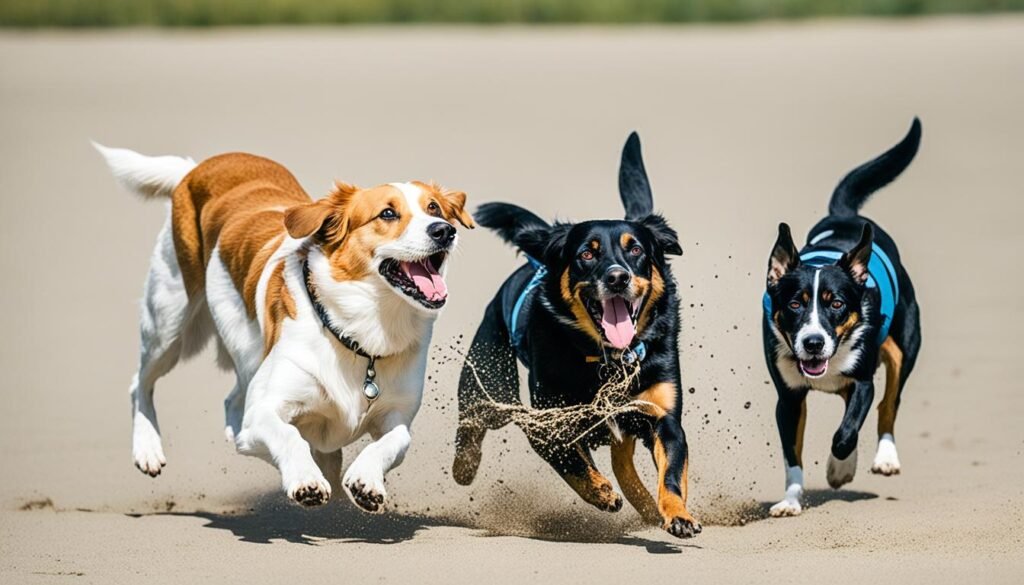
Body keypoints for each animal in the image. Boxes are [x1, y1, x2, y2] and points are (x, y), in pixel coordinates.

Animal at [96, 146, 471, 512]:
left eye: (435, 208)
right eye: (388, 214)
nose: (443, 230)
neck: (361, 334)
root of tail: (200, 166)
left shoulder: (398, 413)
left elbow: (396, 440)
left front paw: (366, 480)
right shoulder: (266, 409)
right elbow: (289, 436)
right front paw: (306, 480)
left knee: (232, 400)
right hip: (169, 320)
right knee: (140, 382)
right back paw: (148, 449)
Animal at [452, 133, 700, 540]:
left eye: (636, 249)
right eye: (587, 253)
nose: (617, 277)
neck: (608, 359)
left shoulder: (662, 416)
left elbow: (672, 475)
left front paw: (677, 514)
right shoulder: (546, 424)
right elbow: (572, 462)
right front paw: (600, 492)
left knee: (625, 468)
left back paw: (648, 509)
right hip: (488, 375)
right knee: (472, 421)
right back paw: (465, 465)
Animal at [765, 118, 925, 516]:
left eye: (835, 303)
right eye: (795, 304)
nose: (813, 343)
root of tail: (847, 217)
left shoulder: (863, 380)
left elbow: (846, 432)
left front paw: (840, 467)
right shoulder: (788, 397)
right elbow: (792, 455)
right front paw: (790, 500)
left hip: (904, 345)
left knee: (889, 403)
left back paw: (885, 458)